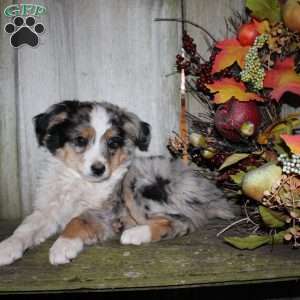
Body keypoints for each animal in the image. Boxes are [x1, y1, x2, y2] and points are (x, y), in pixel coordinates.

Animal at [0, 100, 233, 264]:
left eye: (112, 143)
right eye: (80, 140)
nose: (99, 169)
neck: (79, 182)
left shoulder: (105, 213)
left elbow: (77, 220)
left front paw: (62, 247)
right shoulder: (47, 211)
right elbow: (26, 228)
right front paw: (8, 247)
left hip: (140, 183)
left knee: (182, 221)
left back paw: (135, 233)